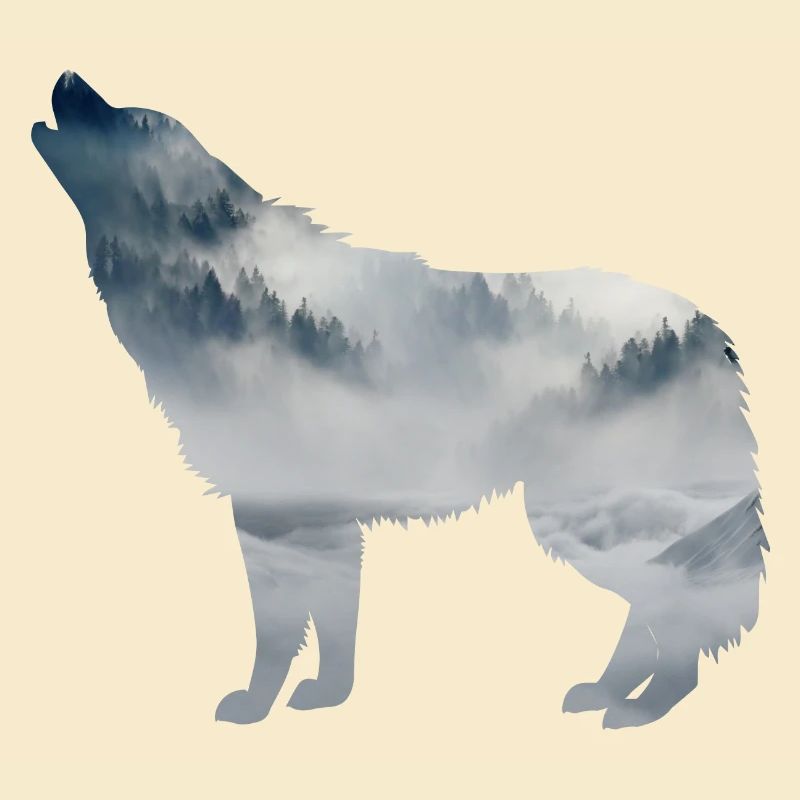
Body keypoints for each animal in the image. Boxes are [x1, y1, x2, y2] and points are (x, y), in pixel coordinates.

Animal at [32, 71, 767, 729]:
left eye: (131, 121)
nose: (68, 75)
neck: (222, 278)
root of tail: (711, 332)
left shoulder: (279, 515)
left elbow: (278, 631)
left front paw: (255, 706)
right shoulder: (321, 522)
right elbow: (336, 629)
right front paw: (327, 697)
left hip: (586, 518)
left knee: (680, 616)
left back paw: (642, 708)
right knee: (660, 609)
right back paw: (611, 693)